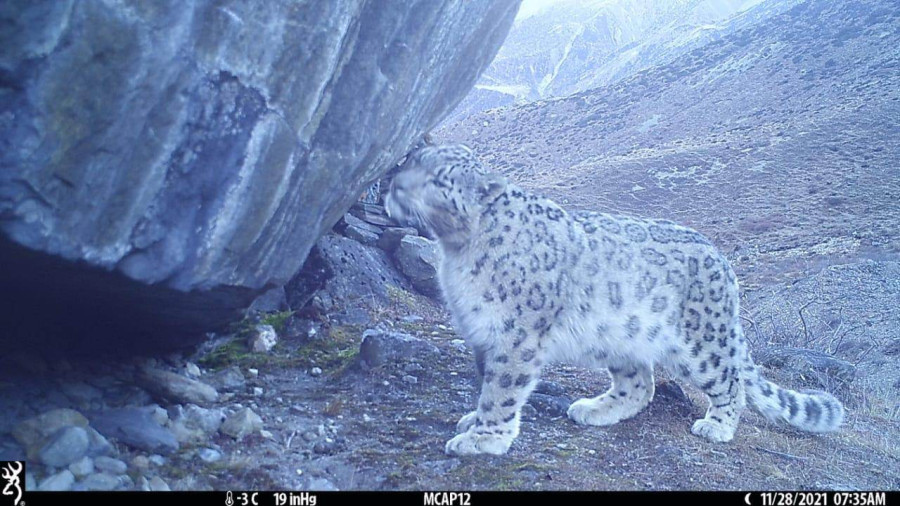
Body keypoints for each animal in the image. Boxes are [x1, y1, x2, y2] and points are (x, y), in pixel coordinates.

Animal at [384, 143, 844, 456]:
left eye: (439, 179)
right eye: (411, 162)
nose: (394, 184)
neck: (454, 251)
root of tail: (722, 260)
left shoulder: (515, 336)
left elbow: (502, 389)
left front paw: (483, 438)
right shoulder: (481, 331)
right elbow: (486, 382)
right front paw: (474, 420)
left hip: (701, 342)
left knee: (730, 381)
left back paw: (716, 426)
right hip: (619, 335)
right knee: (640, 383)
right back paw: (596, 409)